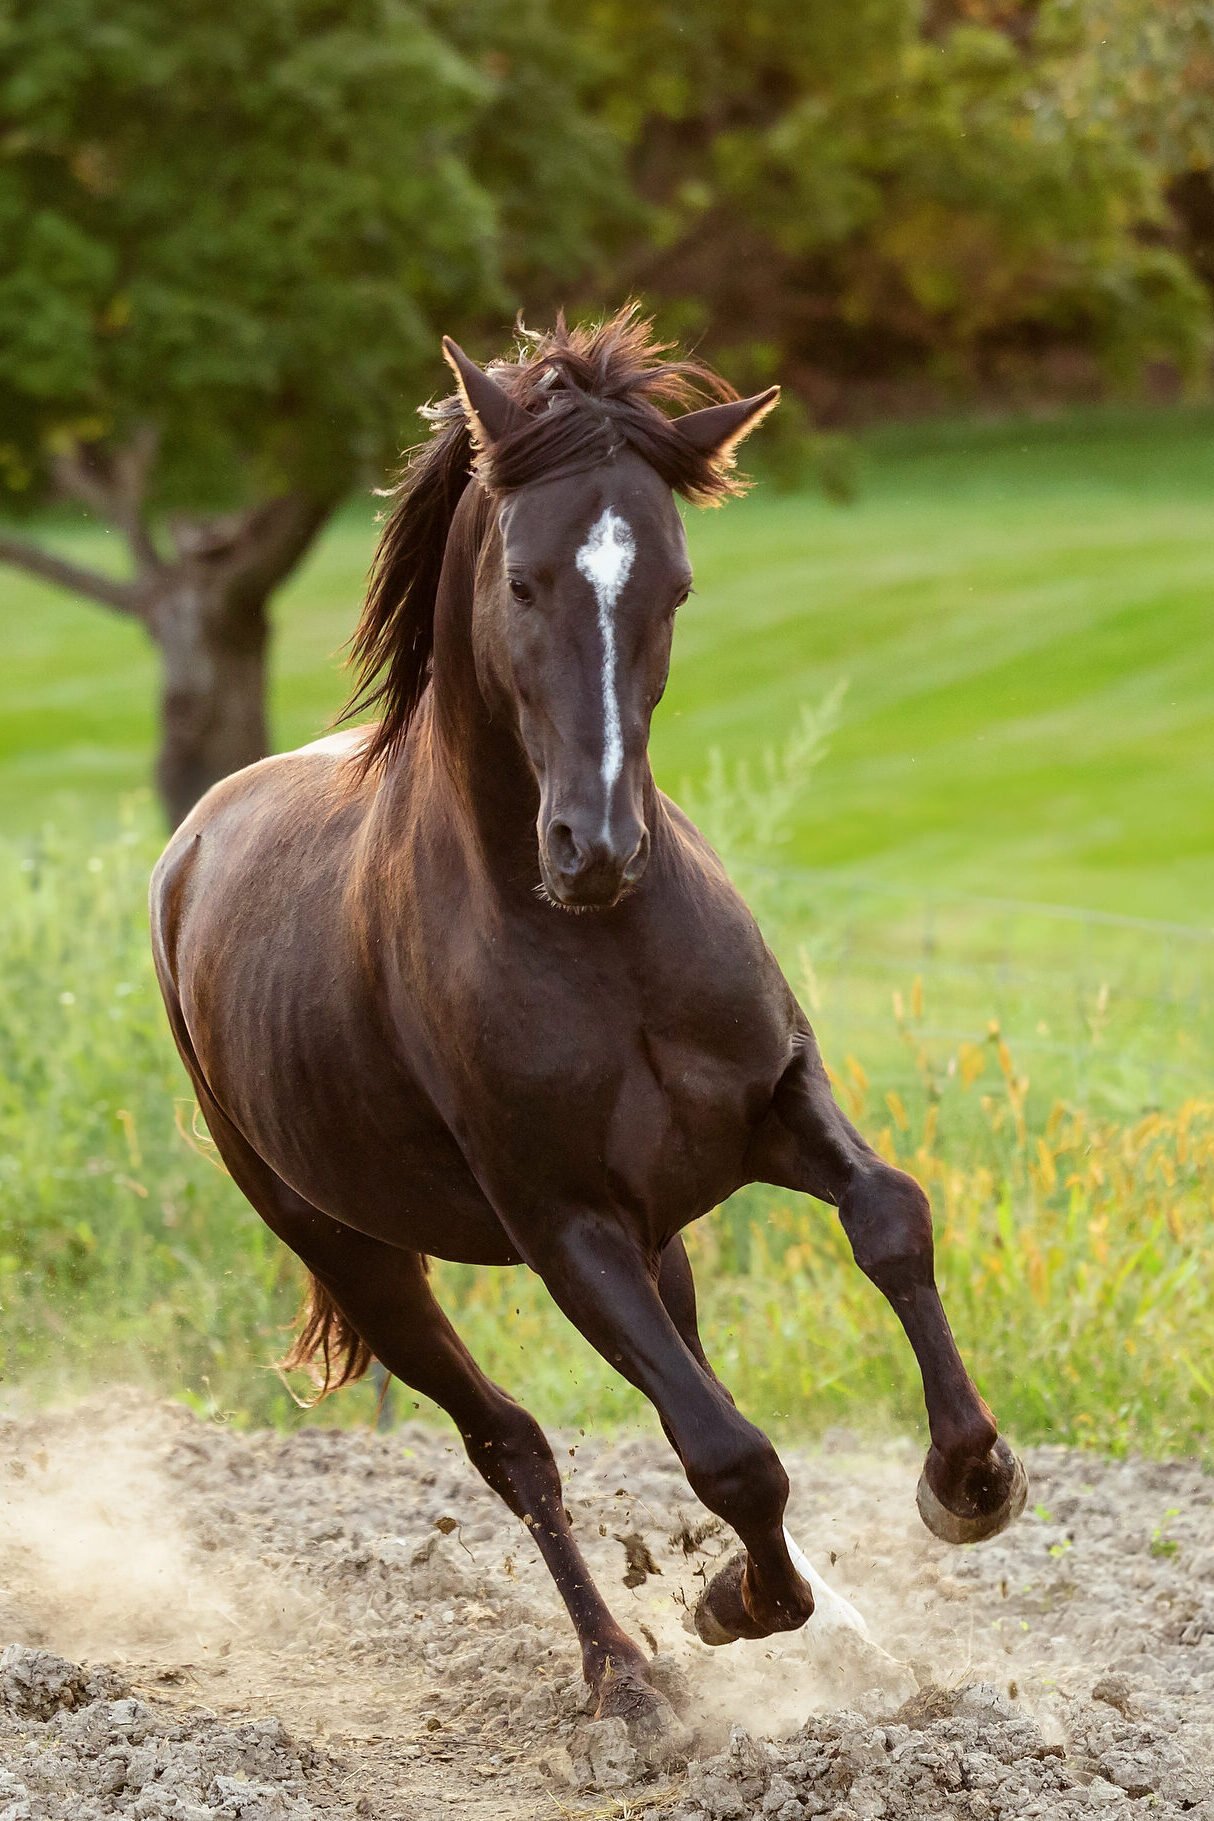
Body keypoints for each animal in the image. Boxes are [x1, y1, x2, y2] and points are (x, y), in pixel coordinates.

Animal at [150, 308, 1027, 1732]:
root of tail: (191, 844)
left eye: (672, 588)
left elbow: (889, 1219)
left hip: (659, 1230)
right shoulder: (563, 1222)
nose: (594, 847)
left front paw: (967, 1484)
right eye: (521, 582)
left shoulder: (770, 1105)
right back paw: (621, 1674)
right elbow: (729, 1453)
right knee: (511, 1444)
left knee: (675, 1371)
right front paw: (733, 1609)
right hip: (352, 1249)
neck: (605, 951)